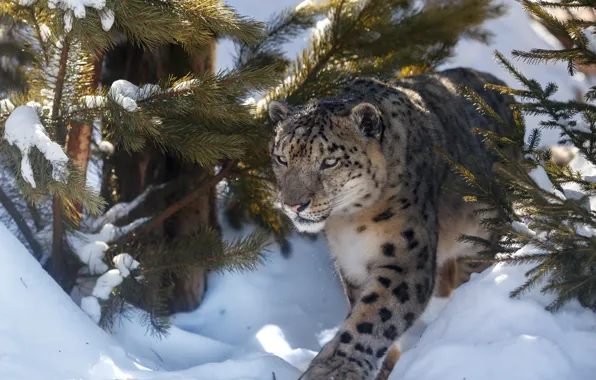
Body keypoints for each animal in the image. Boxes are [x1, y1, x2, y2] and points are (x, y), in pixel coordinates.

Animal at [268, 68, 516, 380]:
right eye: (281, 158)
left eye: (329, 162)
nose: (293, 205)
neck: (348, 222)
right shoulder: (352, 265)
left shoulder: (404, 257)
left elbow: (373, 317)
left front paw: (333, 369)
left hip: (482, 237)